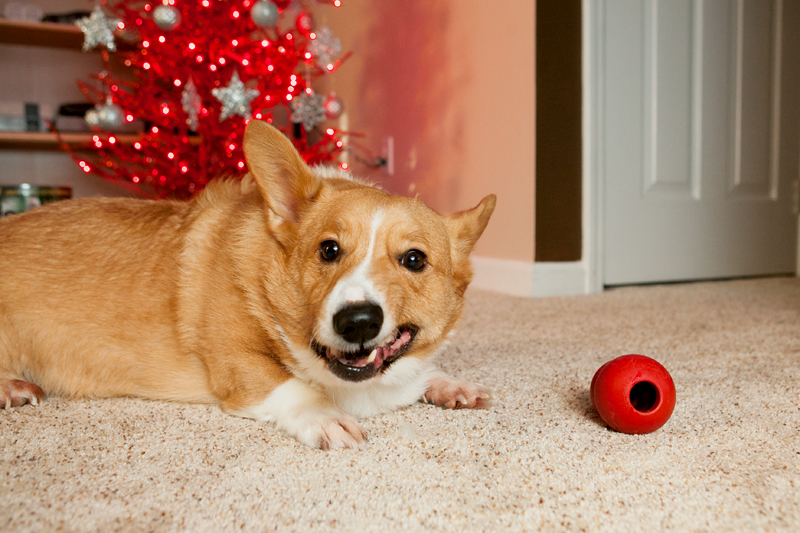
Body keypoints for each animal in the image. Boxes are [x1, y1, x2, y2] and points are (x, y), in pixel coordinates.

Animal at [0, 120, 496, 448]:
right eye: (328, 249)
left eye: (414, 259)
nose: (356, 322)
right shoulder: (236, 362)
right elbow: (293, 384)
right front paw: (327, 417)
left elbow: (423, 370)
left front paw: (449, 384)